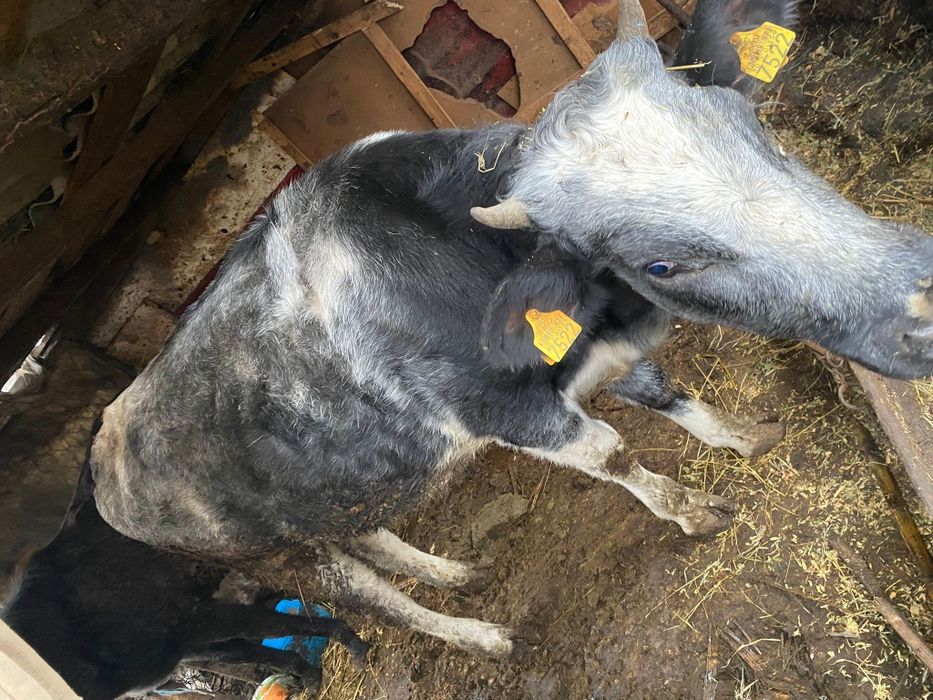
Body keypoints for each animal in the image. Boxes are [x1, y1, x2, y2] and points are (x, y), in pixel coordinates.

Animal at [2, 437, 368, 700]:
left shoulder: (194, 621)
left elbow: (281, 629)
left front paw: (350, 646)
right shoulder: (192, 638)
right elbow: (264, 645)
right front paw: (311, 675)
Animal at [37, 0, 933, 662]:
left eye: (757, 129)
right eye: (661, 262)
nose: (920, 303)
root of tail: (105, 449)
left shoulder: (601, 353)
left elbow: (668, 397)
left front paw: (742, 436)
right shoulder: (513, 415)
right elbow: (616, 454)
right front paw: (691, 512)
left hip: (322, 501)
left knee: (373, 538)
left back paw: (452, 571)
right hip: (273, 557)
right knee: (366, 596)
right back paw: (480, 633)